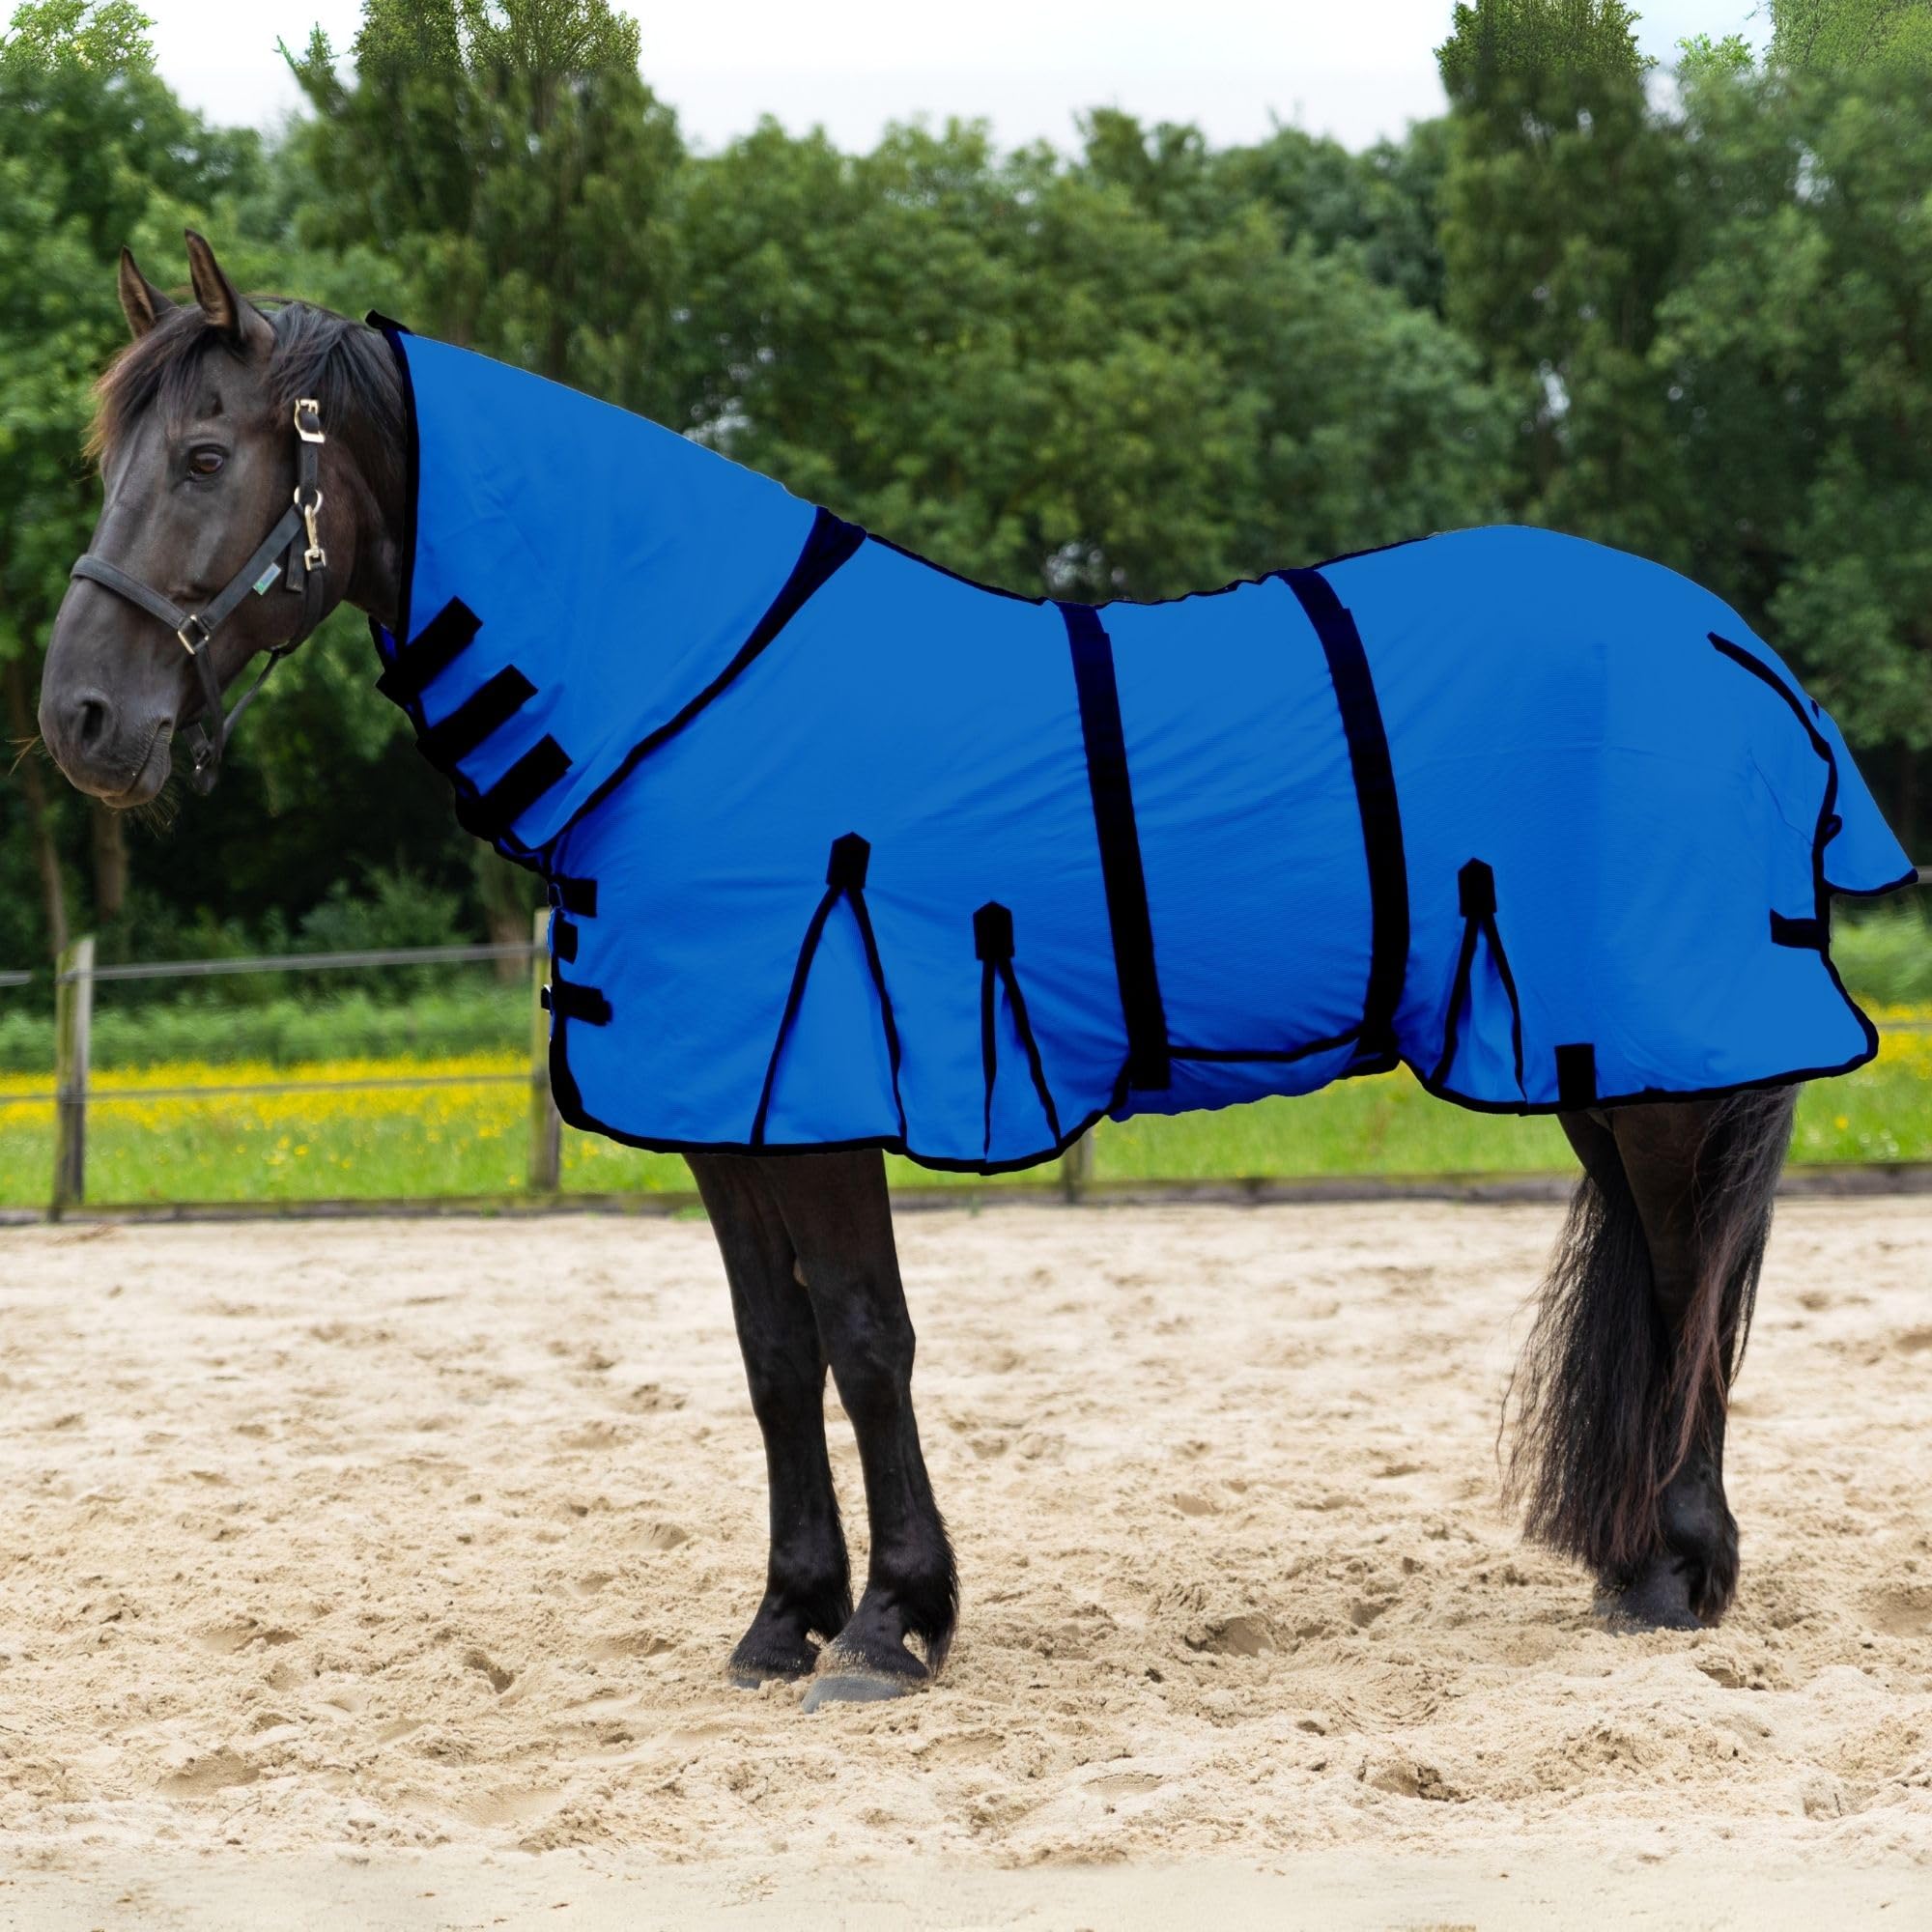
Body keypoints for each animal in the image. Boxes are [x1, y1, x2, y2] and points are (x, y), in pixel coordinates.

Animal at [34, 232, 1872, 1702]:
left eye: (205, 451)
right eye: (111, 454)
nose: (83, 724)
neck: (699, 693)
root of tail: (1730, 644)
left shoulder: (823, 1092)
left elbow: (866, 1339)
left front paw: (891, 1627)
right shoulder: (727, 1117)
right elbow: (774, 1357)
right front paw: (784, 1618)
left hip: (1655, 1055)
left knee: (1689, 1278)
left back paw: (1676, 1574)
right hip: (1600, 1058)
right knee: (1664, 1276)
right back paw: (1633, 1562)